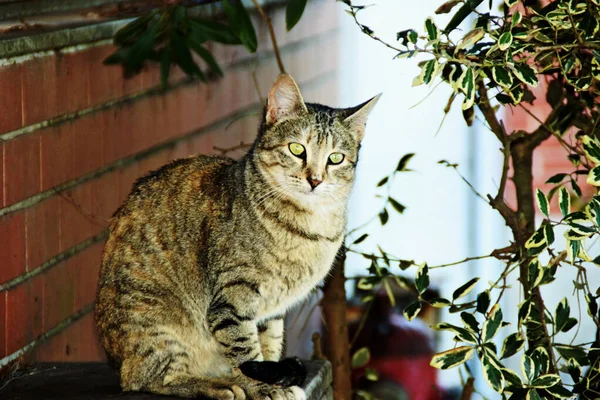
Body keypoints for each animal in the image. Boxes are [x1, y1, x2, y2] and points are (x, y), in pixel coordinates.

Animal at [96, 73, 382, 398]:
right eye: (297, 149)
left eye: (335, 158)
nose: (315, 180)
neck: (309, 226)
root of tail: (115, 361)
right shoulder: (233, 299)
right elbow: (245, 351)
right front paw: (263, 388)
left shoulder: (271, 311)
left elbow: (268, 345)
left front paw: (275, 380)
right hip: (159, 324)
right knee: (145, 379)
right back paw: (216, 385)